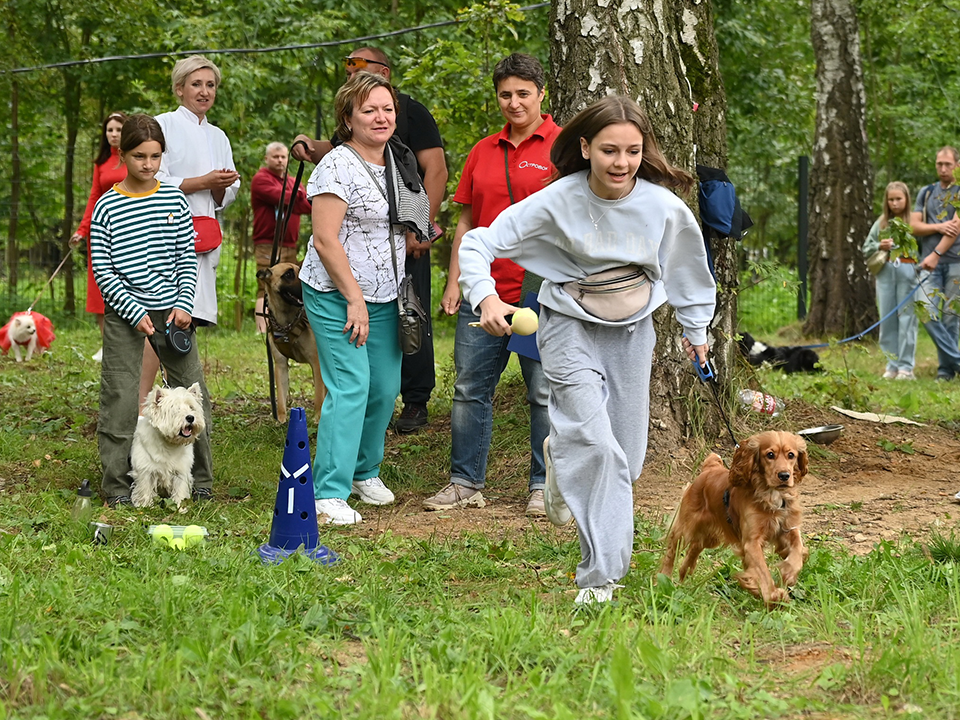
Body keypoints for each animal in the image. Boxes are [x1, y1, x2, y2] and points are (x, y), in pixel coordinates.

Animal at [255, 262, 326, 422]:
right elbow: (281, 397)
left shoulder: (316, 363)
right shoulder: (280, 364)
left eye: (301, 271)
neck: (286, 321)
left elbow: (319, 395)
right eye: (288, 274)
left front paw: (318, 418)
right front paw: (281, 420)